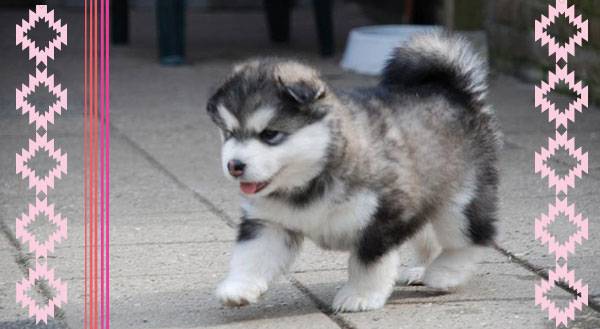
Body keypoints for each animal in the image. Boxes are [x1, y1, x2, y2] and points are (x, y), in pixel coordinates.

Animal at [206, 34, 502, 312]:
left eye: (270, 134)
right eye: (229, 133)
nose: (234, 165)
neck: (312, 178)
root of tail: (453, 91)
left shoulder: (382, 218)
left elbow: (367, 262)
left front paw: (360, 295)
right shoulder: (270, 222)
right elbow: (252, 255)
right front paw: (238, 287)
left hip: (461, 199)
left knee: (471, 236)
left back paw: (445, 273)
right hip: (426, 199)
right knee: (427, 236)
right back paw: (420, 269)